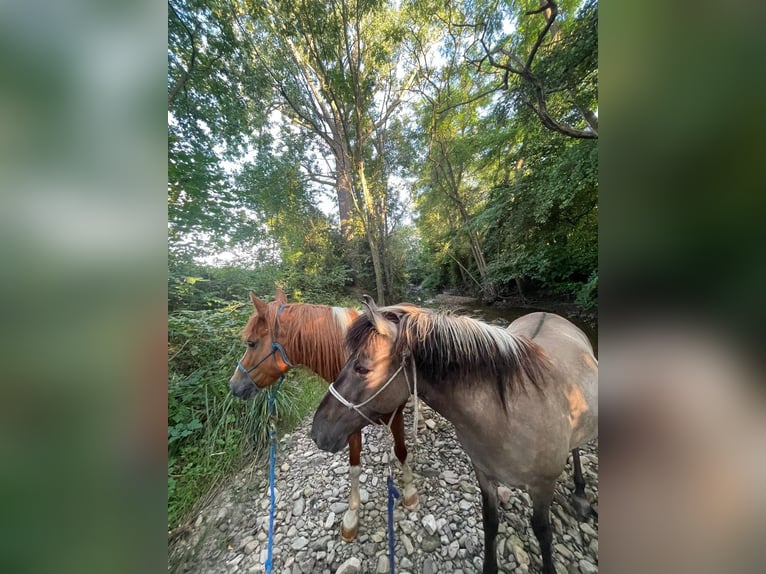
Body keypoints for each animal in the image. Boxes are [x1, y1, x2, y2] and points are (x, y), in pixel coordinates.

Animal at [228, 290, 420, 544]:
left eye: (251, 343)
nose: (234, 385)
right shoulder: (348, 423)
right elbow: (354, 467)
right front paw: (352, 516)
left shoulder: (393, 412)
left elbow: (400, 451)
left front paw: (409, 492)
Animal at [312, 302, 600, 574]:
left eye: (362, 368)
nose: (317, 431)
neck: (509, 412)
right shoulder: (484, 474)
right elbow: (490, 522)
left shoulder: (542, 486)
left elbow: (542, 531)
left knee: (577, 449)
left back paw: (580, 492)